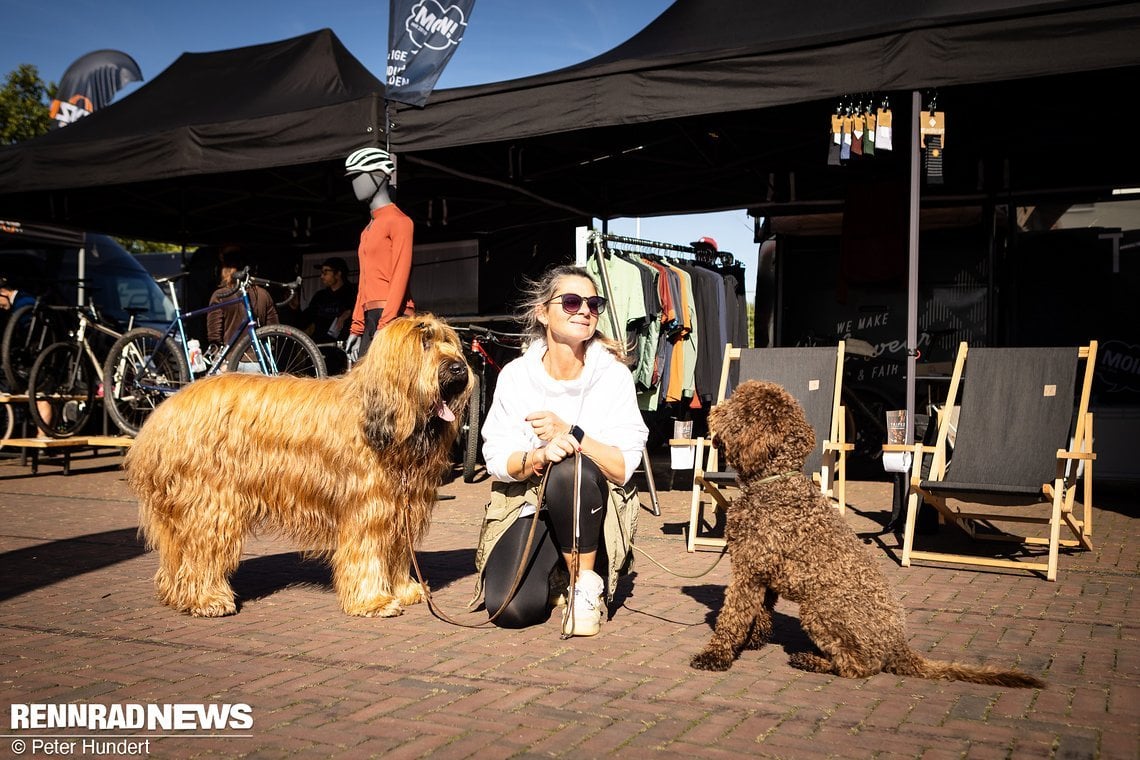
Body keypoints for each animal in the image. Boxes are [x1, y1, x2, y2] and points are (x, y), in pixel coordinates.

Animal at [128, 314, 471, 619]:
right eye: (424, 343)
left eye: (449, 341)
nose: (460, 368)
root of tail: (164, 413)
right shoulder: (368, 508)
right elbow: (368, 553)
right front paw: (374, 601)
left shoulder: (401, 507)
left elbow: (397, 551)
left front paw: (406, 590)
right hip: (211, 503)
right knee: (202, 553)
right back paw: (208, 599)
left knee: (177, 555)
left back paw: (178, 596)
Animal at [688, 380, 1044, 688]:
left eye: (738, 406)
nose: (713, 410)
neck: (775, 483)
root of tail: (898, 645)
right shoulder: (761, 573)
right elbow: (759, 613)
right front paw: (754, 641)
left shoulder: (748, 570)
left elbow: (732, 618)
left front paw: (715, 655)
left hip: (819, 610)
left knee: (860, 667)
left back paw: (813, 661)